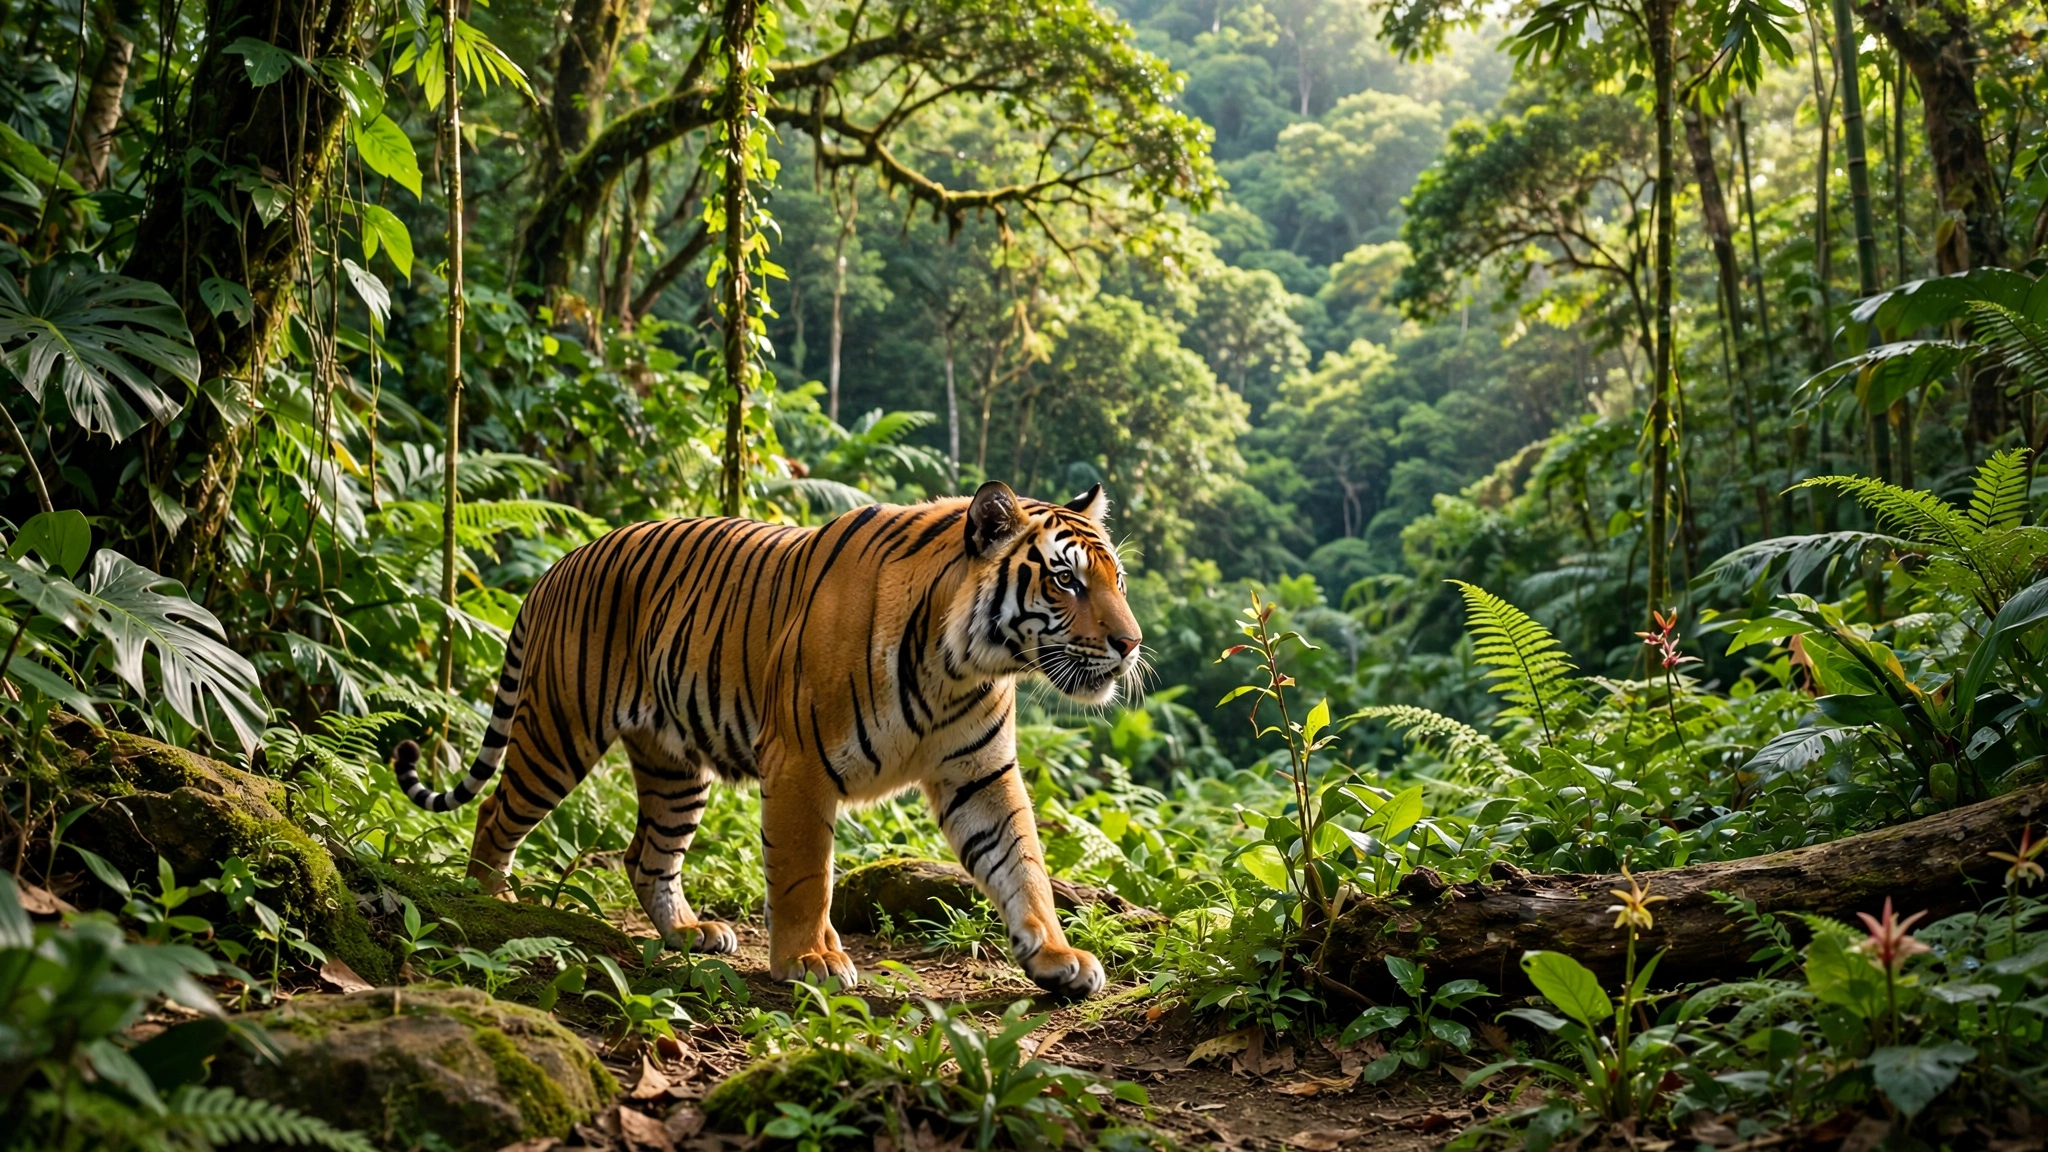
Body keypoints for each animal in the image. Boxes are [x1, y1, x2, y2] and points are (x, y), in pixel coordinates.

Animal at [391, 481, 1141, 997]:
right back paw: (488, 902)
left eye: (1118, 581)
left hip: (674, 768)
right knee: (496, 811)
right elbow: (806, 875)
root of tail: (559, 563)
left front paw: (1056, 958)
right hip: (558, 731)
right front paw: (810, 960)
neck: (961, 665)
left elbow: (1023, 863)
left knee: (646, 855)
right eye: (1066, 580)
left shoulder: (980, 774)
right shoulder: (801, 765)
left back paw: (689, 933)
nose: (1131, 644)